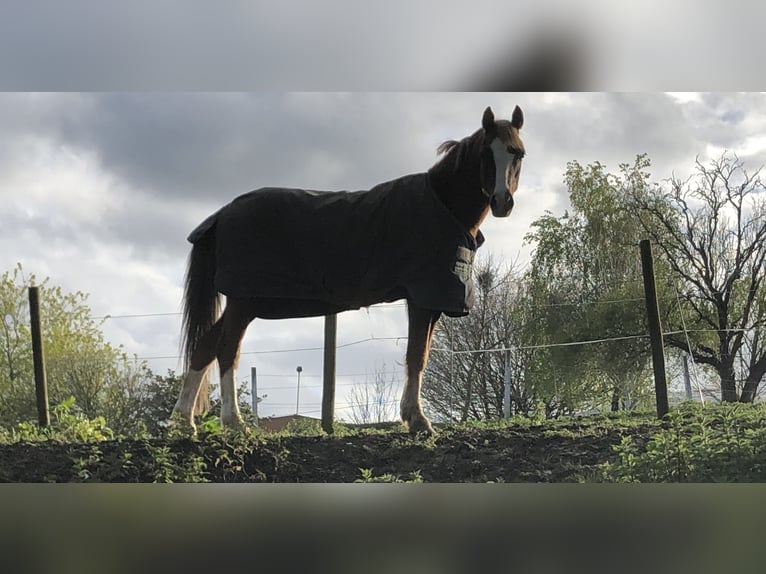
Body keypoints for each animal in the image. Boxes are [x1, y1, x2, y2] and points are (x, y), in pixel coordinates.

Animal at [173, 105, 525, 435]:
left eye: (518, 153)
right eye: (486, 153)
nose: (502, 202)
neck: (441, 204)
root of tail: (223, 213)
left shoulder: (434, 300)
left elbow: (420, 354)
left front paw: (411, 416)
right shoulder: (422, 296)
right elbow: (416, 356)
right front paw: (418, 421)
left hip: (247, 302)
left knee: (205, 346)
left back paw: (184, 422)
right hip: (243, 300)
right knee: (226, 349)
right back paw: (233, 422)